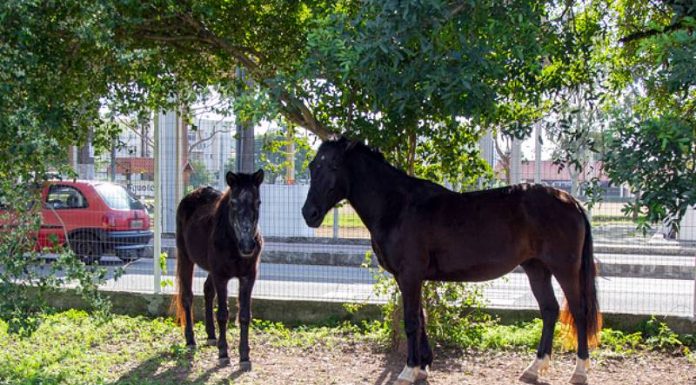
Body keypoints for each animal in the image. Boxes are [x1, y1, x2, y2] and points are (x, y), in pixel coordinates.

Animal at [174, 170, 264, 370]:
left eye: (258, 202)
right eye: (233, 203)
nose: (248, 246)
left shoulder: (248, 277)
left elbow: (244, 315)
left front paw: (244, 357)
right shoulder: (221, 276)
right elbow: (223, 314)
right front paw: (223, 354)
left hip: (210, 269)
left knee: (207, 290)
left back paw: (211, 336)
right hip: (185, 256)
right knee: (187, 296)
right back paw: (191, 341)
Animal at [302, 138, 600, 384]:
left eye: (334, 166)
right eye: (312, 166)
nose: (309, 213)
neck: (397, 207)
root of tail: (569, 199)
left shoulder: (410, 275)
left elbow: (411, 321)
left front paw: (408, 371)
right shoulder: (410, 277)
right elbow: (421, 318)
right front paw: (423, 367)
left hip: (564, 269)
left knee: (579, 311)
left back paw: (580, 371)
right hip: (536, 268)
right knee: (549, 310)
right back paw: (534, 369)